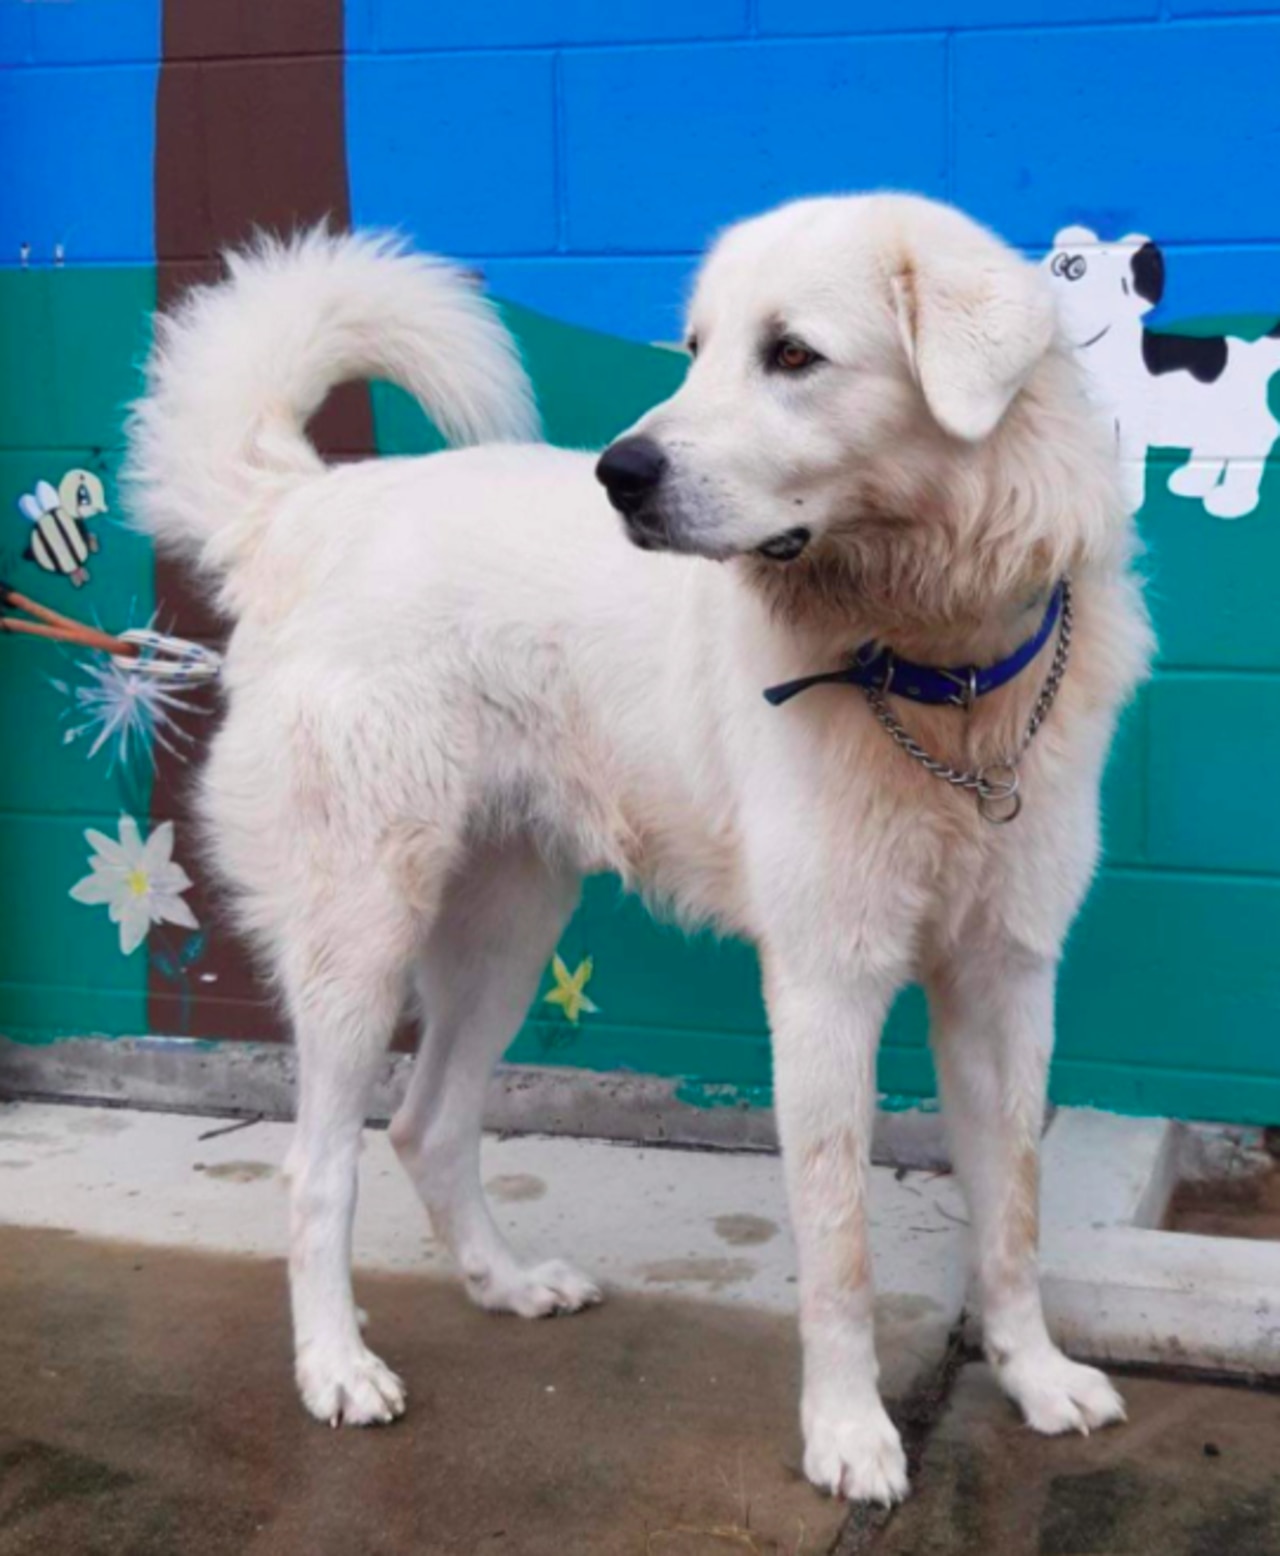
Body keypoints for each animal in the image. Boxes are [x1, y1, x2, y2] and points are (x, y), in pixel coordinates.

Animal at [127, 194, 1150, 1506]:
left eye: (791, 355)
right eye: (695, 348)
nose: (617, 473)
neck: (931, 664)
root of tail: (305, 509)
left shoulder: (1006, 977)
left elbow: (1010, 1209)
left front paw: (1032, 1375)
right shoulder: (823, 987)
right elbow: (838, 1245)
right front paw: (846, 1430)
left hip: (507, 931)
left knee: (425, 1124)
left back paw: (506, 1284)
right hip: (360, 937)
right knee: (316, 1169)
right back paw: (337, 1368)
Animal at [1045, 225, 1275, 516]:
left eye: (1076, 269)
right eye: (1059, 264)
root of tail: (1252, 352)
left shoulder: (1129, 420)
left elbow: (1126, 459)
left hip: (1242, 416)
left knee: (1259, 438)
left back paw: (1234, 499)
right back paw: (1193, 481)